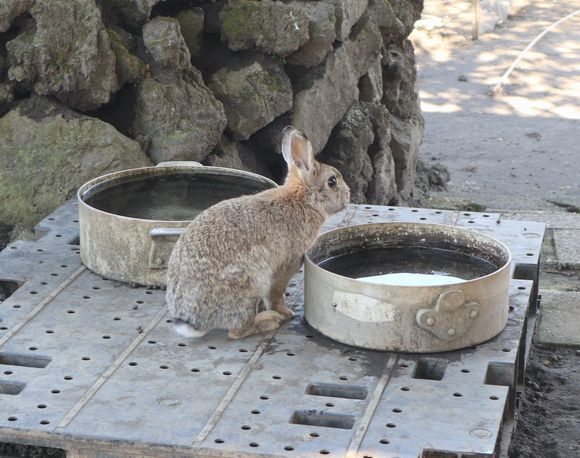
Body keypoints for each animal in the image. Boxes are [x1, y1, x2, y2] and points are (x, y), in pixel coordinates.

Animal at [165, 127, 352, 338]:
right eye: (332, 181)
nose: (348, 195)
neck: (303, 200)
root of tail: (193, 320)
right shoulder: (287, 263)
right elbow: (276, 293)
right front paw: (285, 312)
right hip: (250, 283)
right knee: (237, 331)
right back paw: (269, 320)